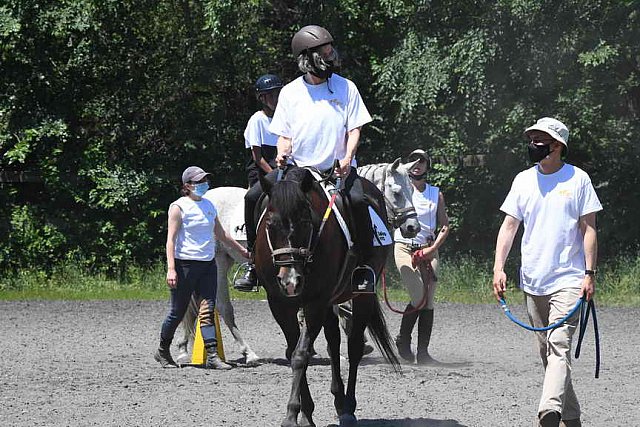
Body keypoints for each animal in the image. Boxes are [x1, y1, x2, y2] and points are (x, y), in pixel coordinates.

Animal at [254, 167, 396, 427]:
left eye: (305, 222)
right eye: (270, 223)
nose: (290, 280)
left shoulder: (315, 303)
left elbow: (300, 355)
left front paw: (292, 414)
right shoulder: (279, 304)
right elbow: (293, 352)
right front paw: (305, 414)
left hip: (360, 296)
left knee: (353, 347)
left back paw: (348, 408)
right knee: (333, 341)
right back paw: (338, 401)